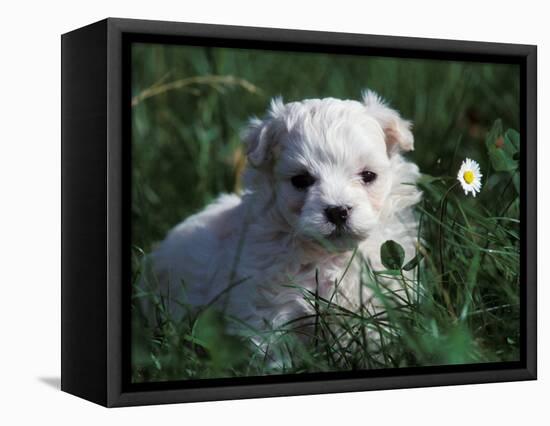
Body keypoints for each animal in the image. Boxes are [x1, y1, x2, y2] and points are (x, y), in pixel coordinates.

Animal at [141, 90, 422, 350]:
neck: (329, 255)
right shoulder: (269, 308)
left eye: (368, 175)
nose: (337, 211)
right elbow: (274, 350)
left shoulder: (377, 300)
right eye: (301, 180)